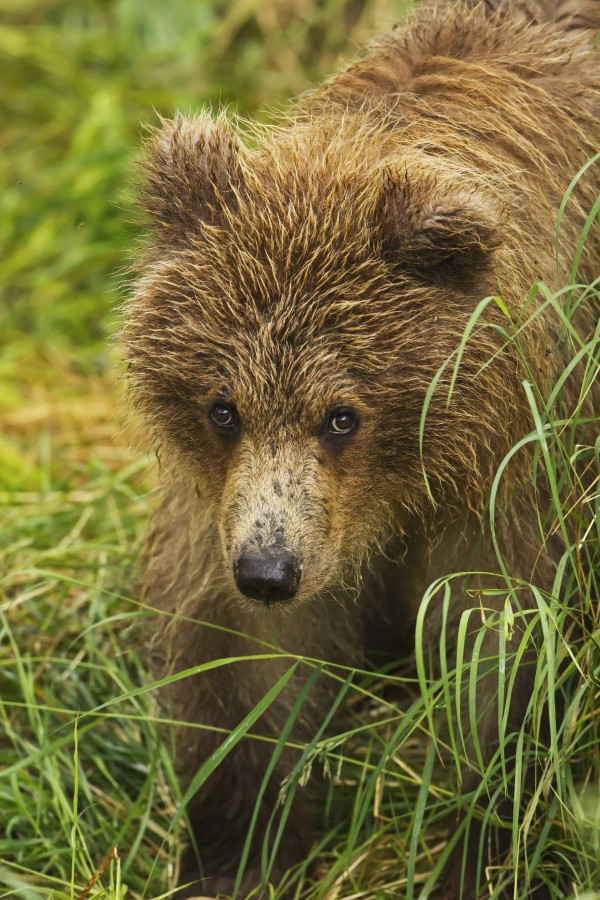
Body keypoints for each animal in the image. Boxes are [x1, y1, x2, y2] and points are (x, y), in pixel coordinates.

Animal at [123, 0, 600, 896]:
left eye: (342, 415)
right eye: (222, 407)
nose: (269, 571)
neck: (403, 490)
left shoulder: (518, 467)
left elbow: (497, 652)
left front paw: (469, 847)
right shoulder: (236, 506)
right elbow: (245, 665)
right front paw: (238, 850)